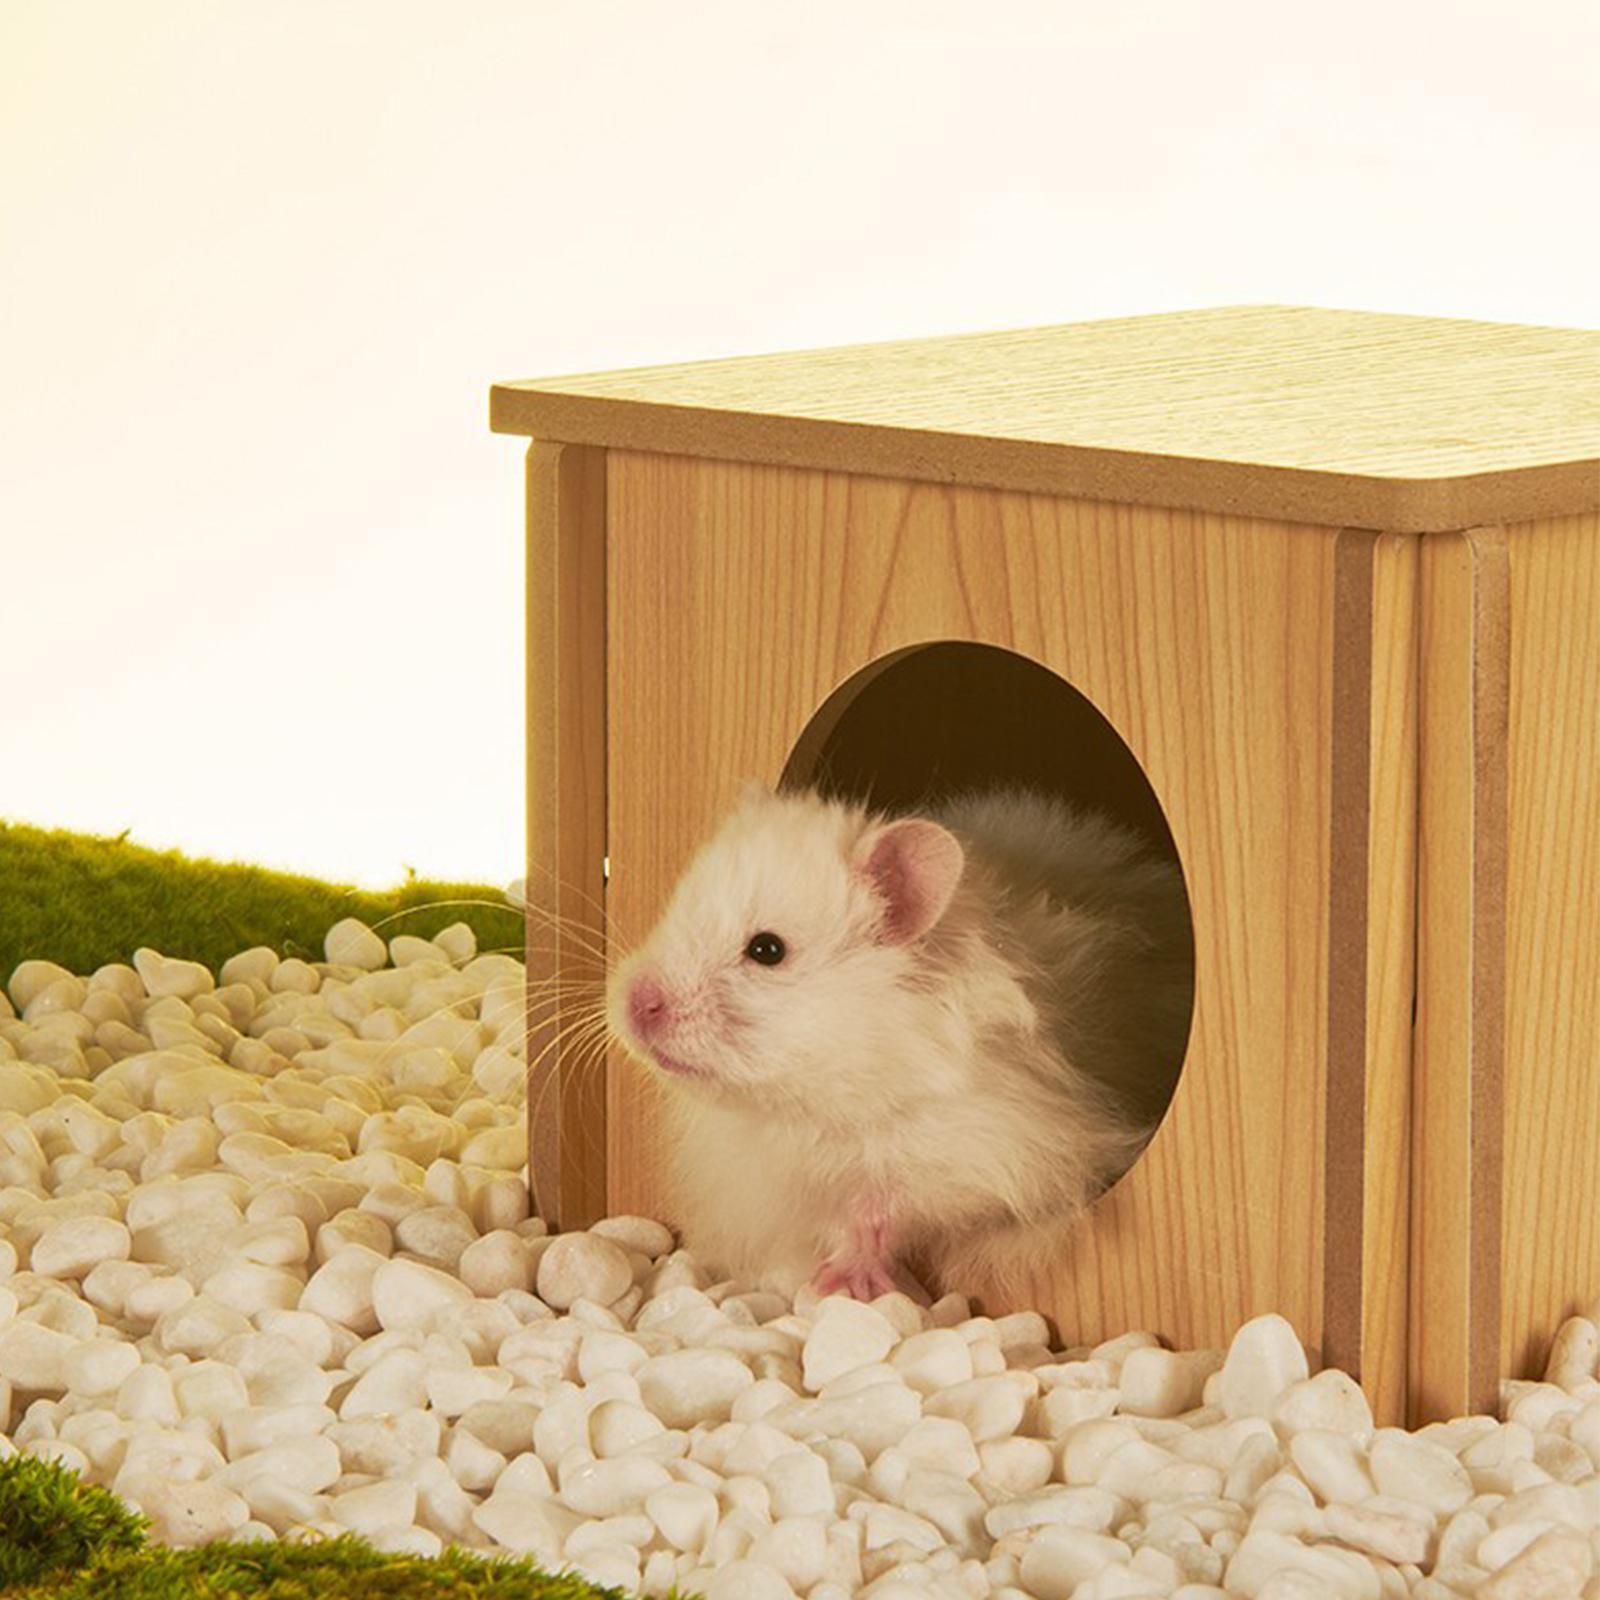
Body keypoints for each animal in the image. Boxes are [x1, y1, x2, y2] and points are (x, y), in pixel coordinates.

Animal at [606, 780, 1193, 1300]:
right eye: (674, 908)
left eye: (767, 950)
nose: (634, 1004)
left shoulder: (994, 1150)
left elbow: (889, 1205)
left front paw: (847, 1281)